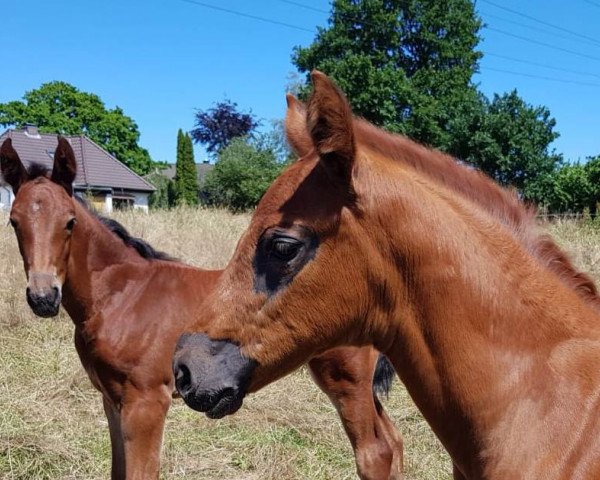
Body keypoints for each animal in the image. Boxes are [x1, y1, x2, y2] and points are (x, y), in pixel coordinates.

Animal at [1, 137, 404, 480]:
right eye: (14, 222)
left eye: (69, 222)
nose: (43, 297)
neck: (121, 296)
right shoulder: (111, 399)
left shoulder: (146, 403)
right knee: (394, 442)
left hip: (346, 381)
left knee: (375, 453)